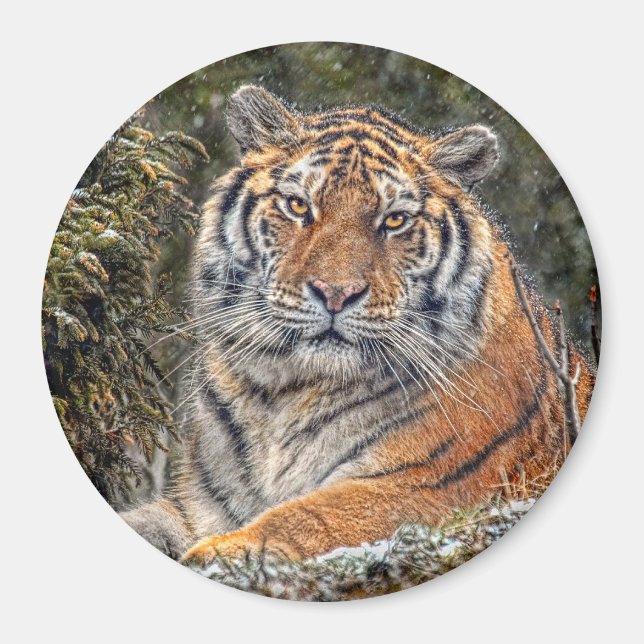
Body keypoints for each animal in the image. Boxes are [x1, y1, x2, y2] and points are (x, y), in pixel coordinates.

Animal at [121, 85, 595, 565]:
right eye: (298, 206)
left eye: (394, 220)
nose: (336, 292)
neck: (285, 396)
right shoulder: (202, 506)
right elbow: (146, 520)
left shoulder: (425, 485)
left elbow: (304, 516)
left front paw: (220, 552)